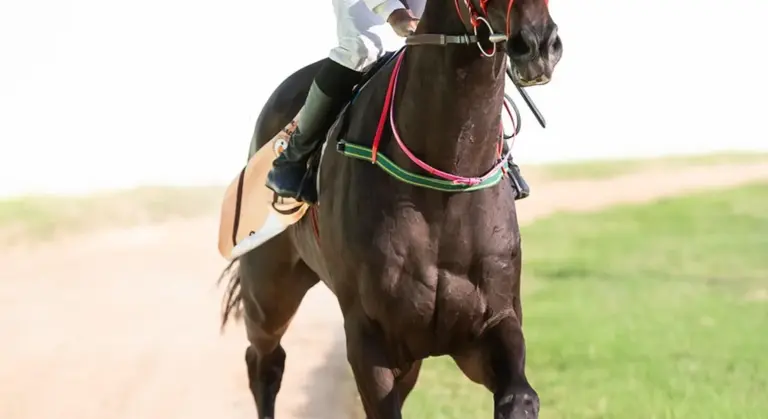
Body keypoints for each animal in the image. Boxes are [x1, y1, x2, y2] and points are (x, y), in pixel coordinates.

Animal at [219, 0, 562, 417]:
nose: (538, 44)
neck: (445, 181)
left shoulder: (489, 323)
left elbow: (520, 397)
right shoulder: (370, 338)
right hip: (267, 291)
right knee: (264, 363)